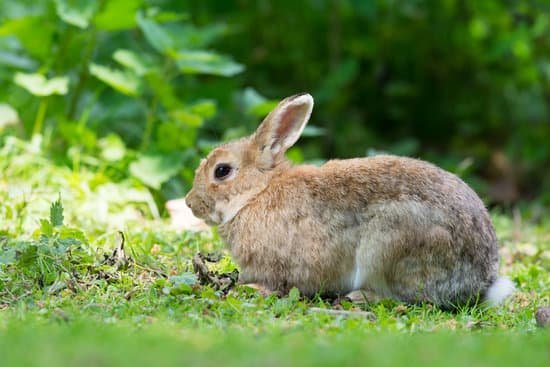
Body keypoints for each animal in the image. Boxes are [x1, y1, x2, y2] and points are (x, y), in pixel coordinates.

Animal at [187, 92, 516, 308]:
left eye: (222, 171)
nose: (191, 203)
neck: (257, 192)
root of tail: (480, 279)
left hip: (389, 245)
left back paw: (360, 296)